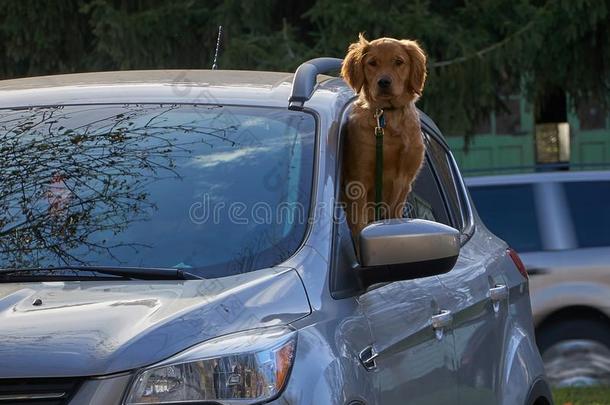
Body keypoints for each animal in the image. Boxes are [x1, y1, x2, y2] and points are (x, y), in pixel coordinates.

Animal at [340, 34, 426, 240]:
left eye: (399, 62)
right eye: (372, 63)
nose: (384, 82)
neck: (387, 116)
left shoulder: (404, 180)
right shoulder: (358, 180)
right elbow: (359, 223)